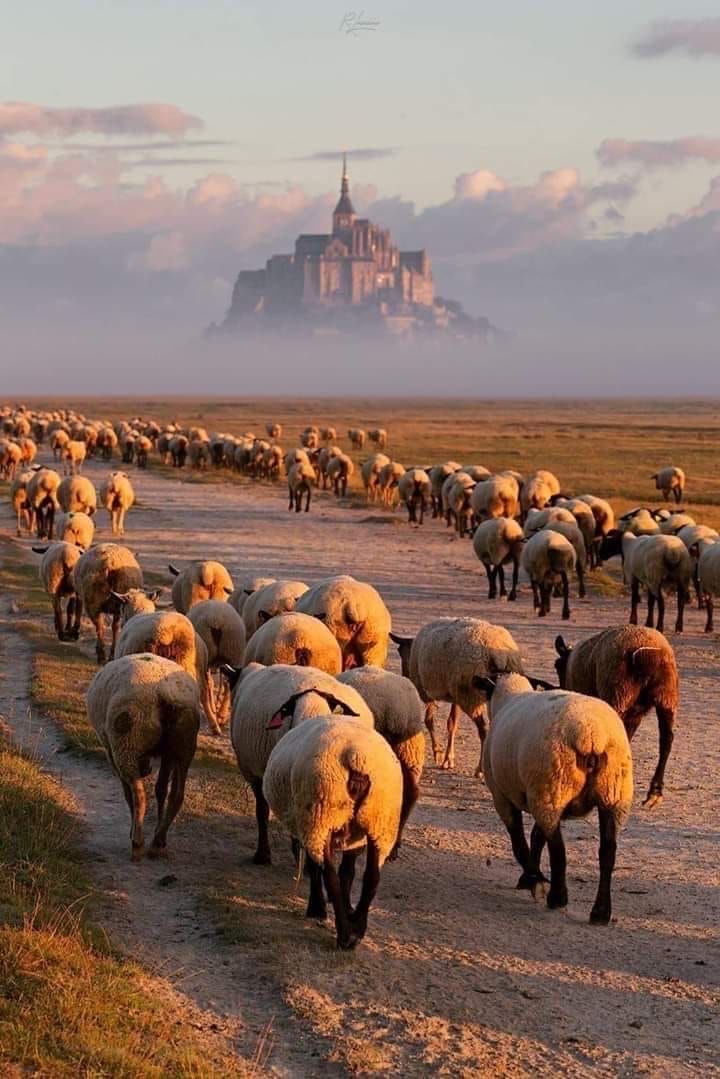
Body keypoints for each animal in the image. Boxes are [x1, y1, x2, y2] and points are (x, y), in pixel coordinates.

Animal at [86, 654, 201, 859]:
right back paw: (158, 841)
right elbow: (161, 789)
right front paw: (157, 833)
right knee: (177, 795)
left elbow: (127, 793)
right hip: (184, 745)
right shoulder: (168, 754)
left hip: (127, 740)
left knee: (138, 794)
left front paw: (132, 830)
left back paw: (138, 843)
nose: (146, 768)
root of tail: (166, 692)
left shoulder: (111, 751)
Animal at [263, 717, 402, 949]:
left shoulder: (308, 829)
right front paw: (347, 908)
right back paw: (358, 928)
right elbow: (348, 872)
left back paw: (344, 934)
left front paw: (318, 908)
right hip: (379, 820)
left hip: (321, 816)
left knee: (330, 877)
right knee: (372, 877)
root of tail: (356, 756)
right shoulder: (352, 840)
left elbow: (318, 869)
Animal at [390, 616, 523, 775]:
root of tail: (499, 654)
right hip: (480, 693)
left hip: (470, 696)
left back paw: (480, 769)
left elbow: (429, 721)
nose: (405, 676)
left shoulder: (429, 693)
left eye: (401, 652)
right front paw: (448, 759)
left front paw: (438, 754)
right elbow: (452, 724)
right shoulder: (456, 695)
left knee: (483, 729)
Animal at [479, 673, 633, 925]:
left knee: (558, 850)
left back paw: (557, 897)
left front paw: (534, 881)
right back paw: (600, 912)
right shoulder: (537, 796)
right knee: (607, 851)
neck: (509, 696)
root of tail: (591, 734)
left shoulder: (503, 797)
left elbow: (520, 842)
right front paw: (529, 878)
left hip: (551, 788)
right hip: (612, 796)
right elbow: (536, 836)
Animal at [554, 625, 679, 807]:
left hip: (618, 694)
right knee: (666, 740)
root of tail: (647, 654)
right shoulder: (635, 716)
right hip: (667, 696)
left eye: (558, 667)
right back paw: (654, 792)